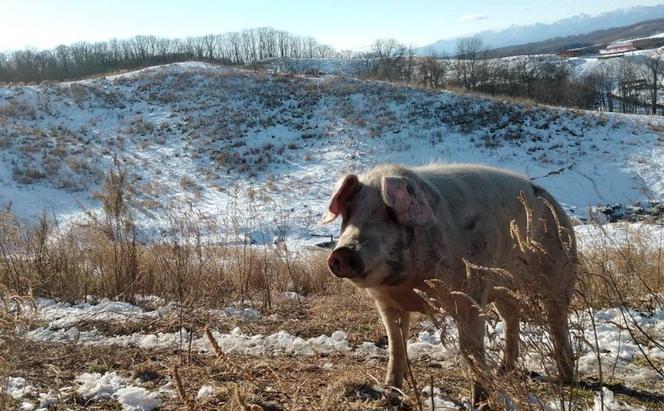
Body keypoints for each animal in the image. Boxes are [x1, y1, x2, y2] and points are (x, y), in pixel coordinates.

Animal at [322, 163, 576, 406]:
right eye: (349, 212)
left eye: (389, 214)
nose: (343, 252)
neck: (407, 285)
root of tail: (551, 199)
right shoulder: (387, 302)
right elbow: (396, 344)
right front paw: (390, 394)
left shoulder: (470, 293)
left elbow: (471, 348)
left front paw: (480, 402)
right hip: (503, 288)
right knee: (511, 316)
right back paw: (502, 371)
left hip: (559, 270)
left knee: (557, 319)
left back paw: (565, 377)